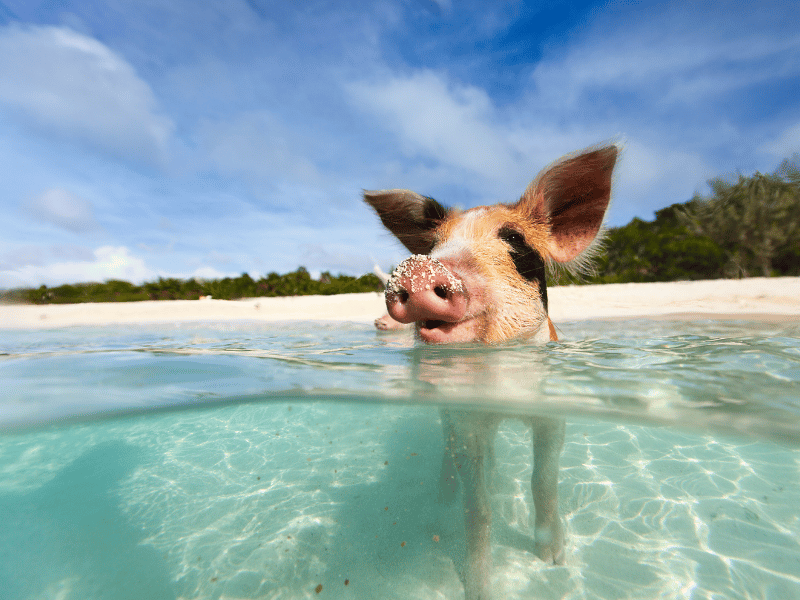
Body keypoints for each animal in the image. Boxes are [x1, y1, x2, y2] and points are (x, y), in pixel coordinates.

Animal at [362, 145, 620, 600]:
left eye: (514, 238)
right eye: (433, 245)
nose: (419, 268)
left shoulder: (552, 414)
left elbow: (543, 479)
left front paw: (553, 558)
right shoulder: (468, 418)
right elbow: (477, 507)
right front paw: (479, 589)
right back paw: (444, 498)